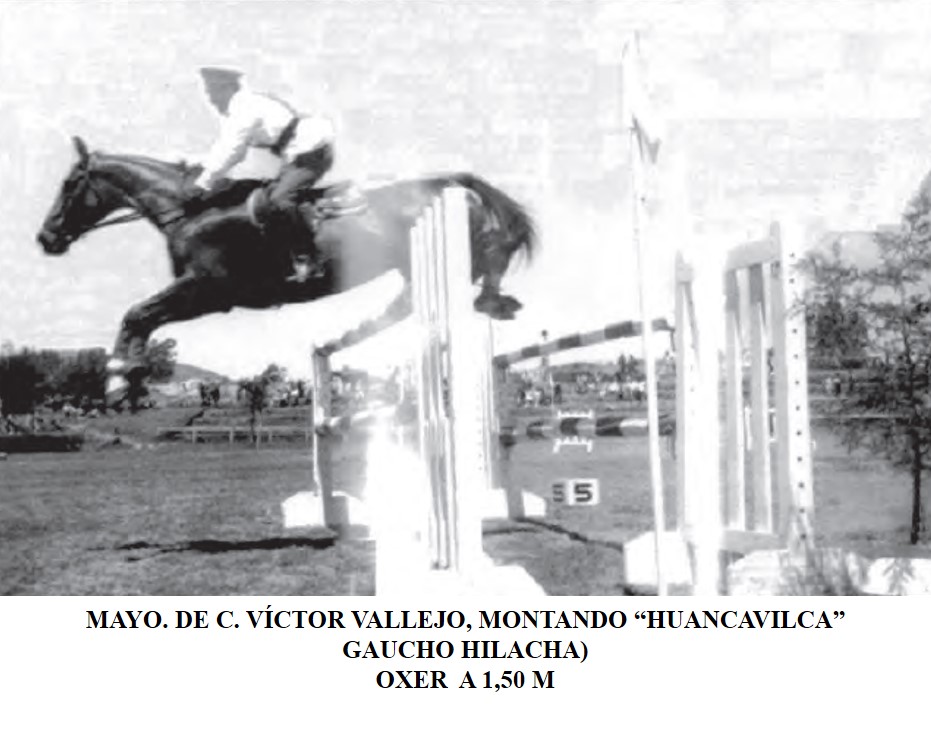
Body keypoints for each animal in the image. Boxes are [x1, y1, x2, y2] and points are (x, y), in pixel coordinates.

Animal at [37, 137, 537, 407]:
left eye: (68, 184)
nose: (46, 238)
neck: (191, 209)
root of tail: (448, 182)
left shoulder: (207, 290)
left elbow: (137, 313)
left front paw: (120, 380)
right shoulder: (199, 293)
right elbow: (139, 317)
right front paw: (128, 377)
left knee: (491, 256)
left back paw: (493, 299)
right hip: (413, 263)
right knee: (414, 299)